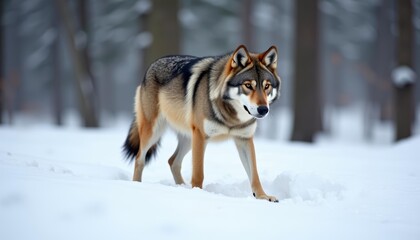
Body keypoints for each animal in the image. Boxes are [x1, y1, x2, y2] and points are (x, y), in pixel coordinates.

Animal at [124, 45, 282, 202]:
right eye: (248, 85)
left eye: (266, 86)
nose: (263, 109)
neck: (231, 118)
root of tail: (153, 64)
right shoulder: (201, 136)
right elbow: (198, 173)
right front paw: (198, 194)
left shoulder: (244, 139)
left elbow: (255, 174)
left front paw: (263, 196)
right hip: (154, 133)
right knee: (140, 158)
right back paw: (137, 185)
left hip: (188, 139)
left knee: (173, 161)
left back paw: (182, 187)